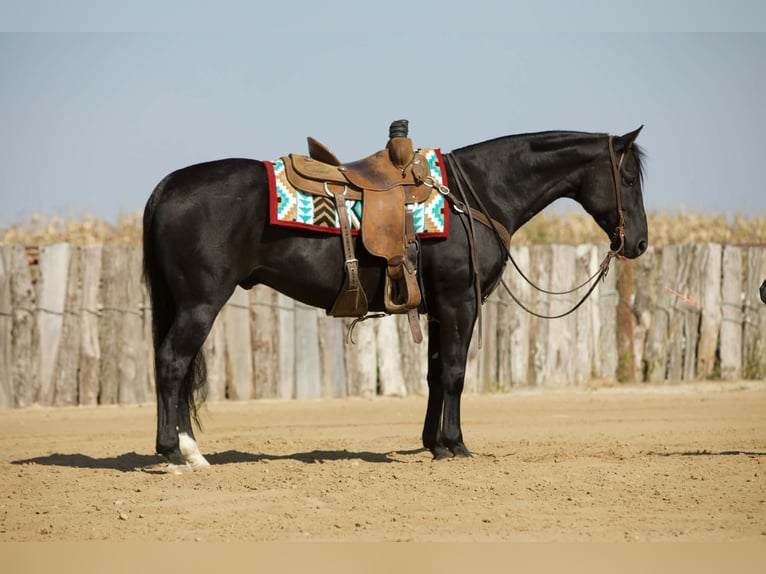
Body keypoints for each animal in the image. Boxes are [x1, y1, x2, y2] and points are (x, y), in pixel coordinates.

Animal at [143, 127, 648, 471]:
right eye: (627, 178)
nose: (639, 243)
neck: (477, 195)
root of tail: (168, 186)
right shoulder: (460, 303)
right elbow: (455, 373)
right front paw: (456, 444)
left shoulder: (439, 309)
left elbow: (435, 374)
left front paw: (434, 443)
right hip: (200, 304)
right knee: (171, 364)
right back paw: (175, 453)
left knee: (176, 368)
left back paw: (189, 450)